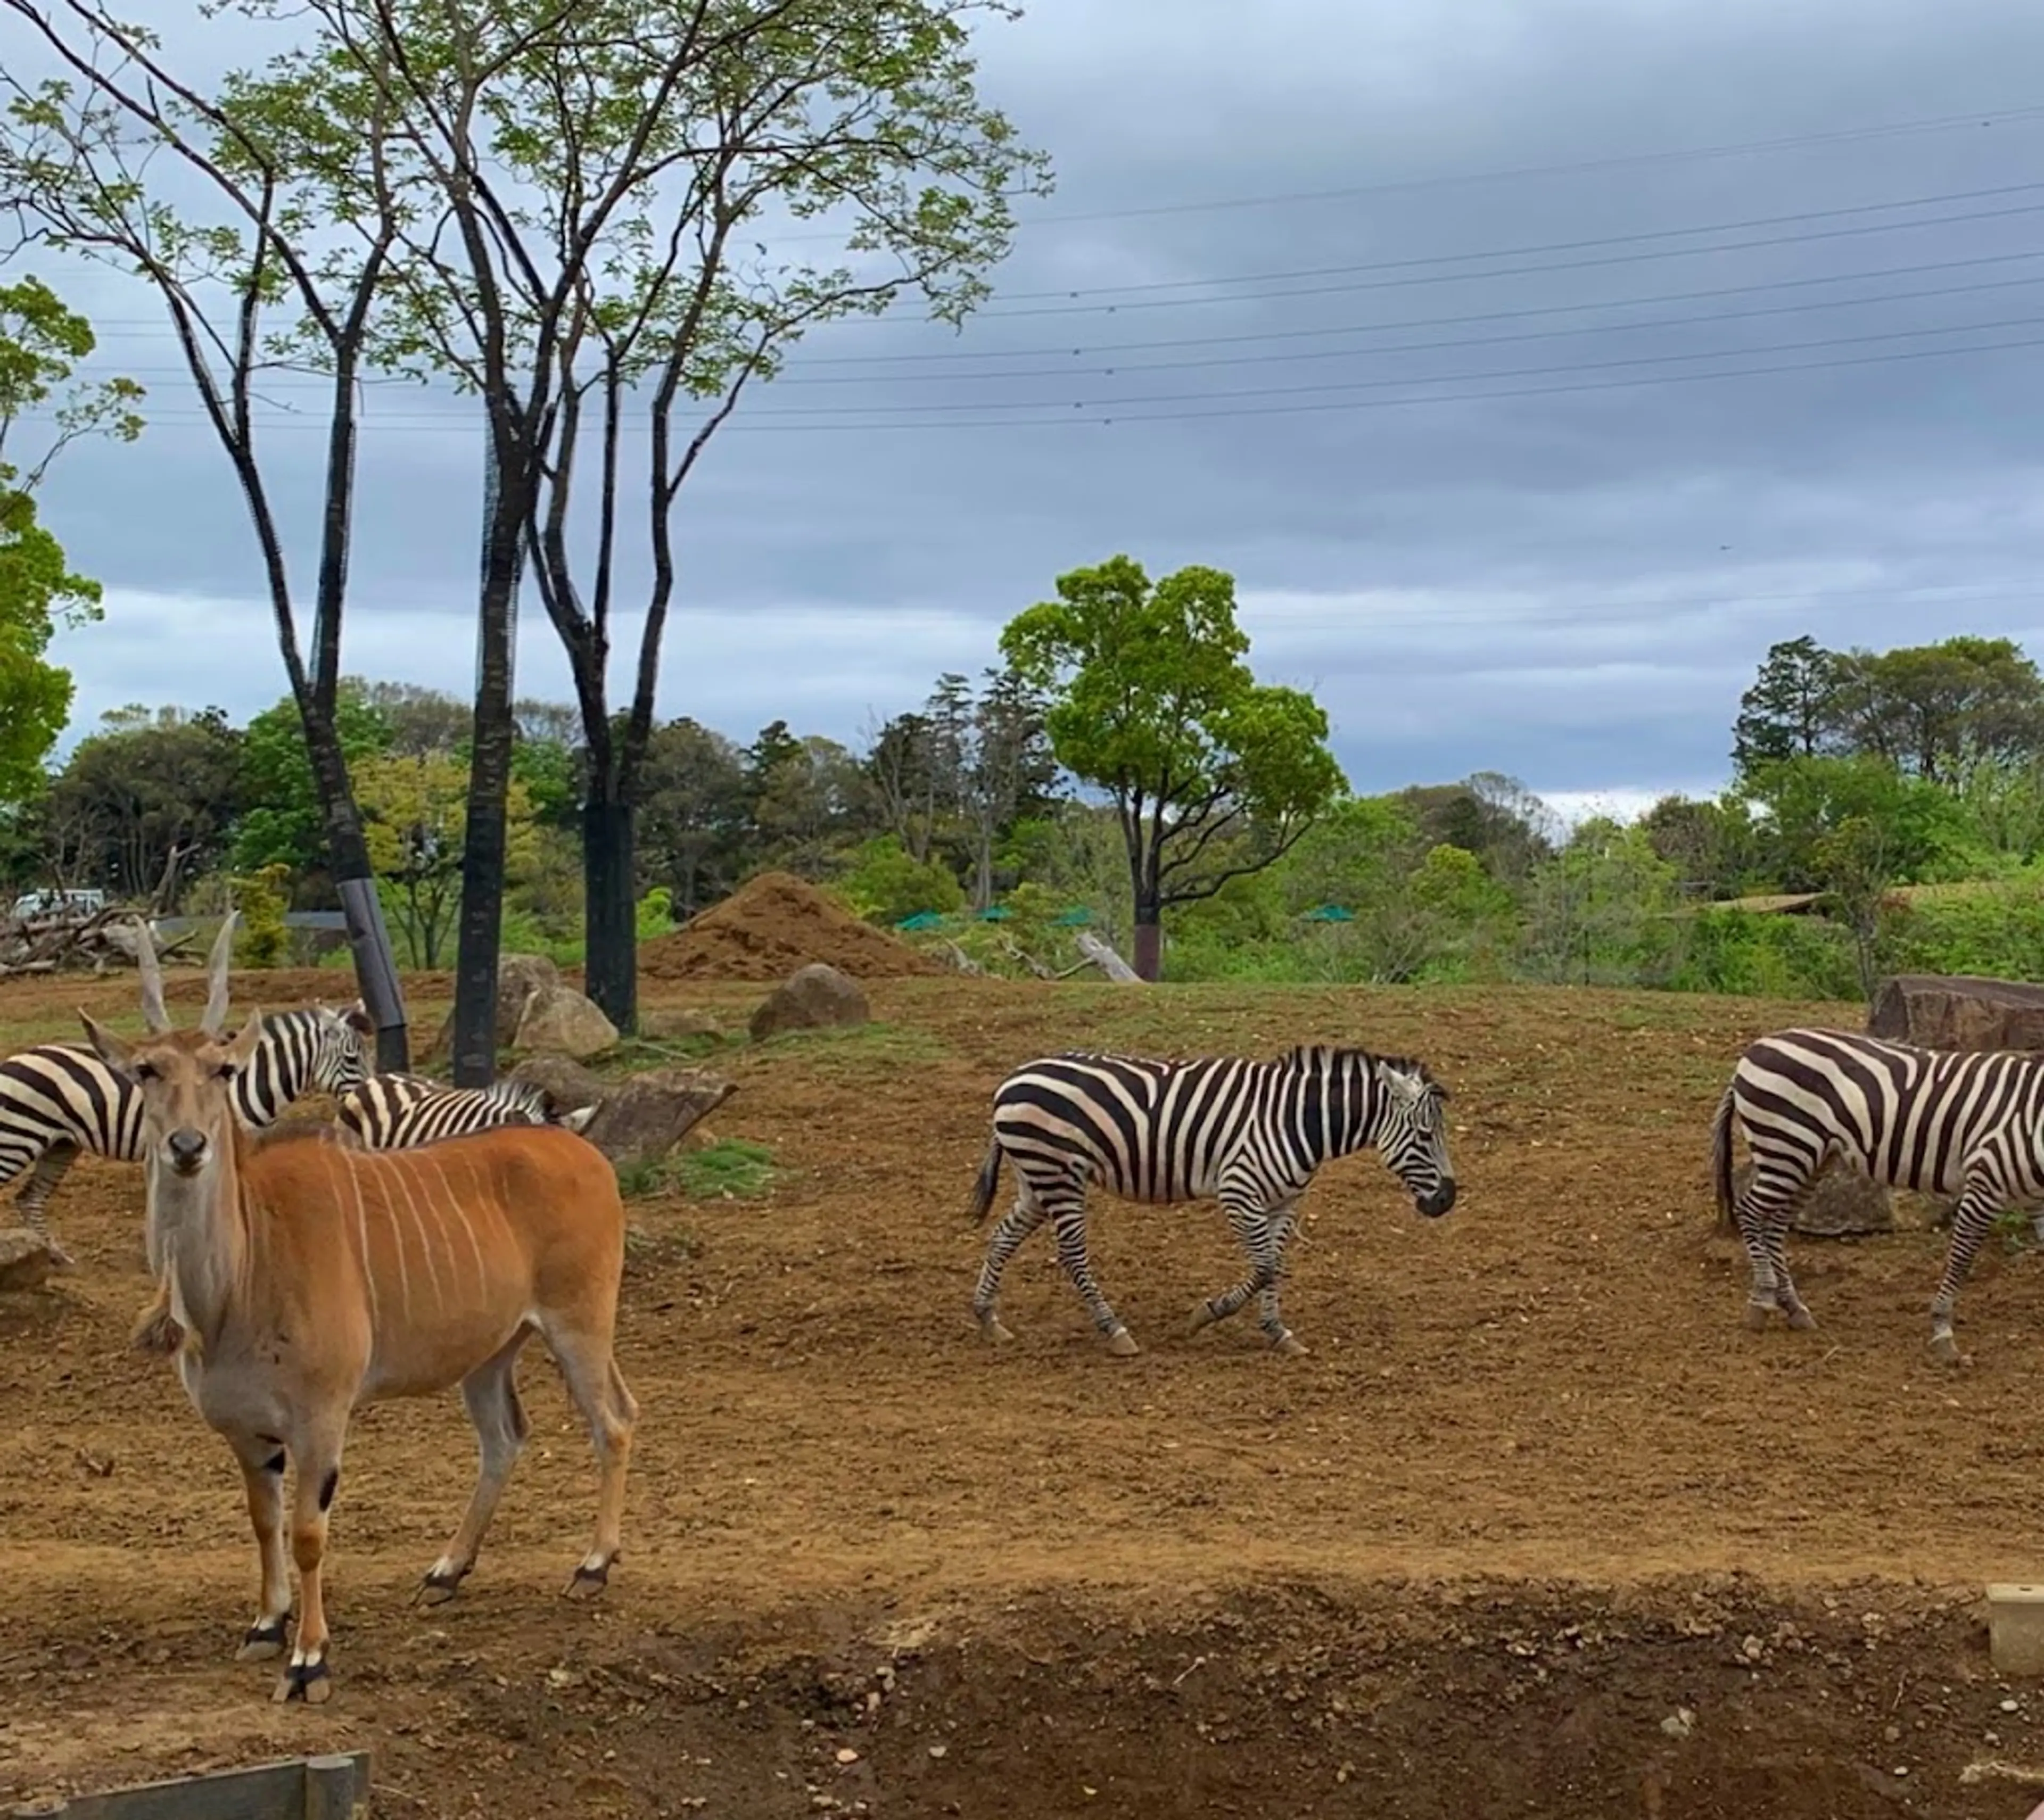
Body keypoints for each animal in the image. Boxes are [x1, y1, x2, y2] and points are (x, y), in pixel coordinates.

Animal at [1, 997, 372, 1266]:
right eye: (353, 1059)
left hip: (60, 1144)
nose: (367, 1093)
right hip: (18, 1139)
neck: (246, 1081)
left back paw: (57, 1257)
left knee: (30, 1198)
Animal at [969, 1046, 1463, 1356]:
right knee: (1072, 1255)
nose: (1446, 1201)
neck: (1297, 1121)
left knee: (1003, 1236)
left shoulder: (1285, 1203)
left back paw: (988, 1318)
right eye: (1425, 1135)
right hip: (1058, 1174)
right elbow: (1263, 1268)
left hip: (1038, 1178)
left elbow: (1276, 1267)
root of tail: (1013, 1077)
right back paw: (1115, 1331)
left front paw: (1278, 1333)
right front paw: (1204, 1316)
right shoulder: (1238, 1192)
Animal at [1717, 1025, 2044, 1364]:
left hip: (1811, 1160)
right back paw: (1762, 1300)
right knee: (1750, 1211)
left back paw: (1793, 1306)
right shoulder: (1984, 1184)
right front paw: (1943, 1332)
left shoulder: (2036, 1201)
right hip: (1786, 1149)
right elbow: (1961, 1259)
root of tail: (1756, 1047)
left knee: (1776, 1225)